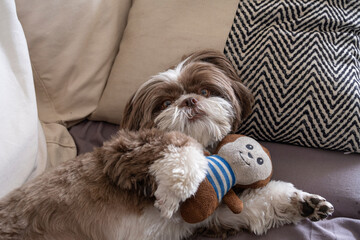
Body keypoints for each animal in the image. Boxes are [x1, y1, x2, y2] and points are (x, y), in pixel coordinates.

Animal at [0, 49, 334, 239]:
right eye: (165, 104)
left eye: (205, 90)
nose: (189, 101)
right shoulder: (124, 155)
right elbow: (183, 147)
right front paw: (173, 190)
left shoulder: (207, 216)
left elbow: (251, 205)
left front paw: (302, 203)